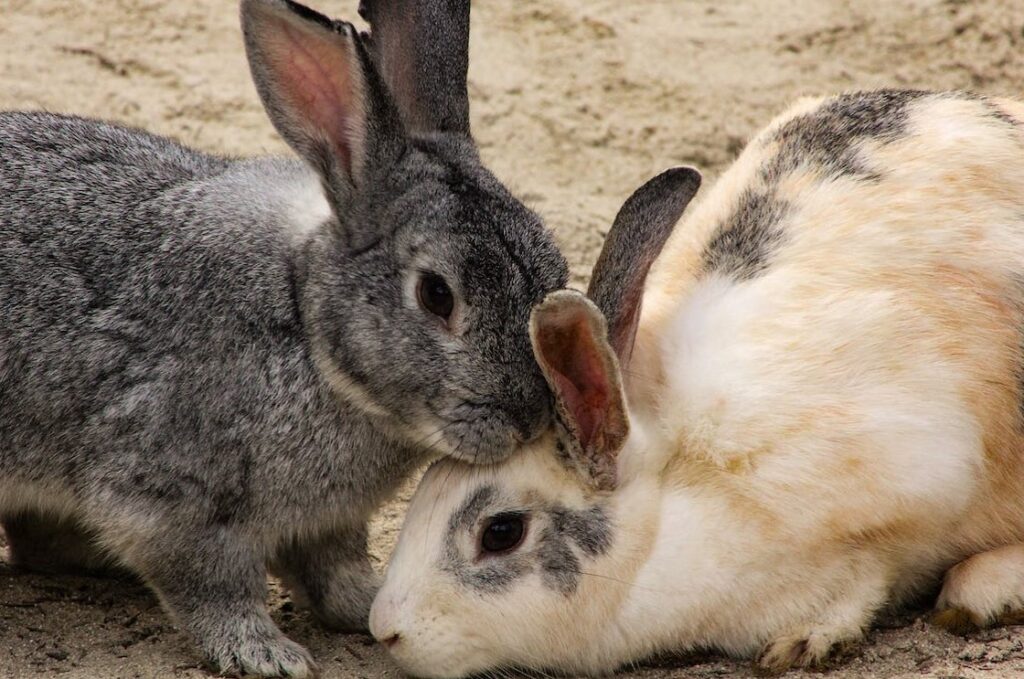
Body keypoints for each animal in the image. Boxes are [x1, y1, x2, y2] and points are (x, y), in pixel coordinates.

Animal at [0, 0, 568, 676]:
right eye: (437, 295)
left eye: (555, 270)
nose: (530, 418)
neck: (305, 323)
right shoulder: (170, 500)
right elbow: (213, 586)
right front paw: (267, 654)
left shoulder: (328, 524)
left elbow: (333, 573)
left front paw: (368, 607)